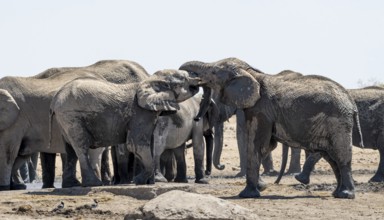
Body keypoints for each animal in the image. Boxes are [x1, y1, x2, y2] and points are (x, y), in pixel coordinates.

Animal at [50, 69, 201, 186]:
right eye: (183, 78)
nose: (198, 79)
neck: (150, 80)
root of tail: (55, 99)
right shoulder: (140, 112)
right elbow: (136, 145)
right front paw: (139, 181)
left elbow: (149, 144)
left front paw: (148, 183)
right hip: (71, 116)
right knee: (81, 147)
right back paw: (93, 184)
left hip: (64, 119)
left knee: (70, 150)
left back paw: (71, 185)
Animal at [180, 57, 364, 199]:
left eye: (213, 73)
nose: (192, 79)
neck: (251, 73)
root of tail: (351, 102)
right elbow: (266, 146)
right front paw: (261, 187)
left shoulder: (261, 110)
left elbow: (257, 145)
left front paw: (247, 195)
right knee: (331, 158)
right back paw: (336, 193)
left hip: (338, 122)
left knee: (340, 156)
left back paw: (346, 195)